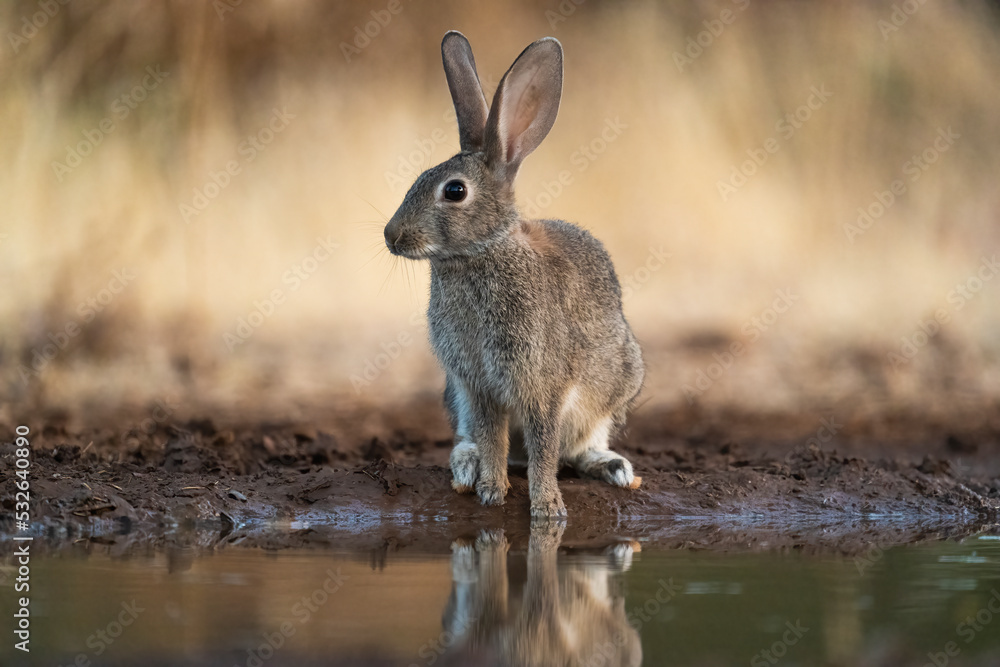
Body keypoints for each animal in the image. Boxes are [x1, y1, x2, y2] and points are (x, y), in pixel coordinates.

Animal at [384, 31, 644, 518]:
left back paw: (614, 468)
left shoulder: (542, 385)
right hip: (455, 393)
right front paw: (491, 489)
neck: (479, 254)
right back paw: (466, 467)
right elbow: (492, 437)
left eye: (454, 191)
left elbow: (543, 446)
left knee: (575, 447)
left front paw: (547, 508)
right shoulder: (478, 385)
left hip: (615, 388)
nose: (392, 236)